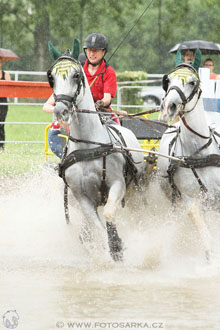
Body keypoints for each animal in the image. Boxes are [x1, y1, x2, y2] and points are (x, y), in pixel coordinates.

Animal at [47, 52, 148, 262]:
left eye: (76, 75)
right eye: (51, 77)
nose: (61, 112)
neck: (88, 146)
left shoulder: (118, 184)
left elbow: (109, 213)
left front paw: (117, 245)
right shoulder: (81, 197)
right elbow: (98, 228)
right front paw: (111, 247)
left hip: (137, 189)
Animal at [157, 63, 220, 260]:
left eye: (192, 82)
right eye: (168, 81)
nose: (169, 106)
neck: (199, 154)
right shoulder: (190, 198)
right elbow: (200, 224)